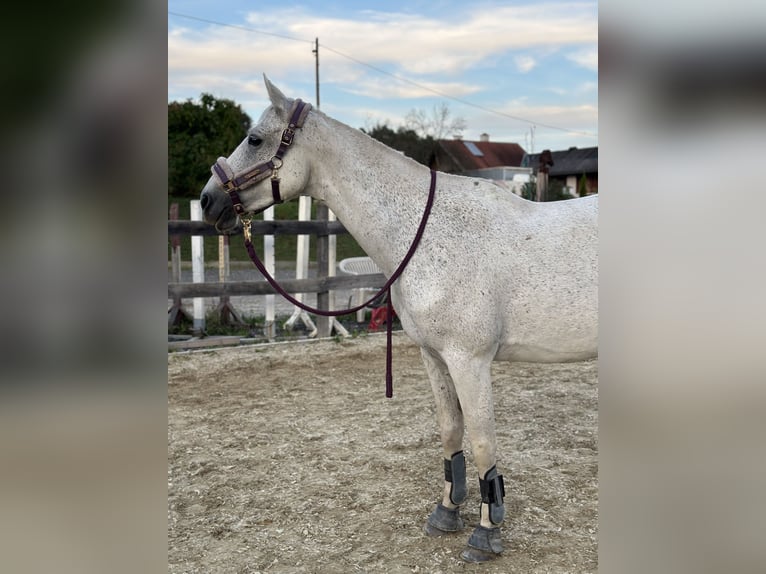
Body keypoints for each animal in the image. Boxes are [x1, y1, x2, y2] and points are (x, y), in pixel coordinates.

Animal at [200, 75, 600, 564]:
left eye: (255, 139)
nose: (207, 200)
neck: (430, 232)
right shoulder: (434, 356)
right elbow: (451, 432)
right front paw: (446, 512)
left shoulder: (470, 361)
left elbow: (482, 441)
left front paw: (486, 534)